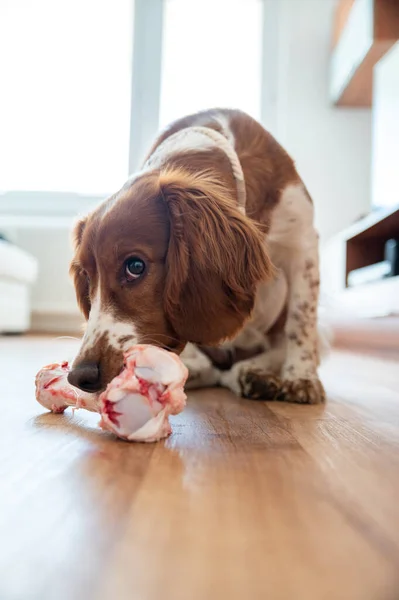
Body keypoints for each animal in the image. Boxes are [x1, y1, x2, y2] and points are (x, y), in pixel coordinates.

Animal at [68, 110, 324, 406]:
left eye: (135, 266)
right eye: (87, 277)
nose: (80, 376)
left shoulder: (303, 241)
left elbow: (301, 319)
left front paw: (301, 377)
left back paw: (254, 373)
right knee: (210, 370)